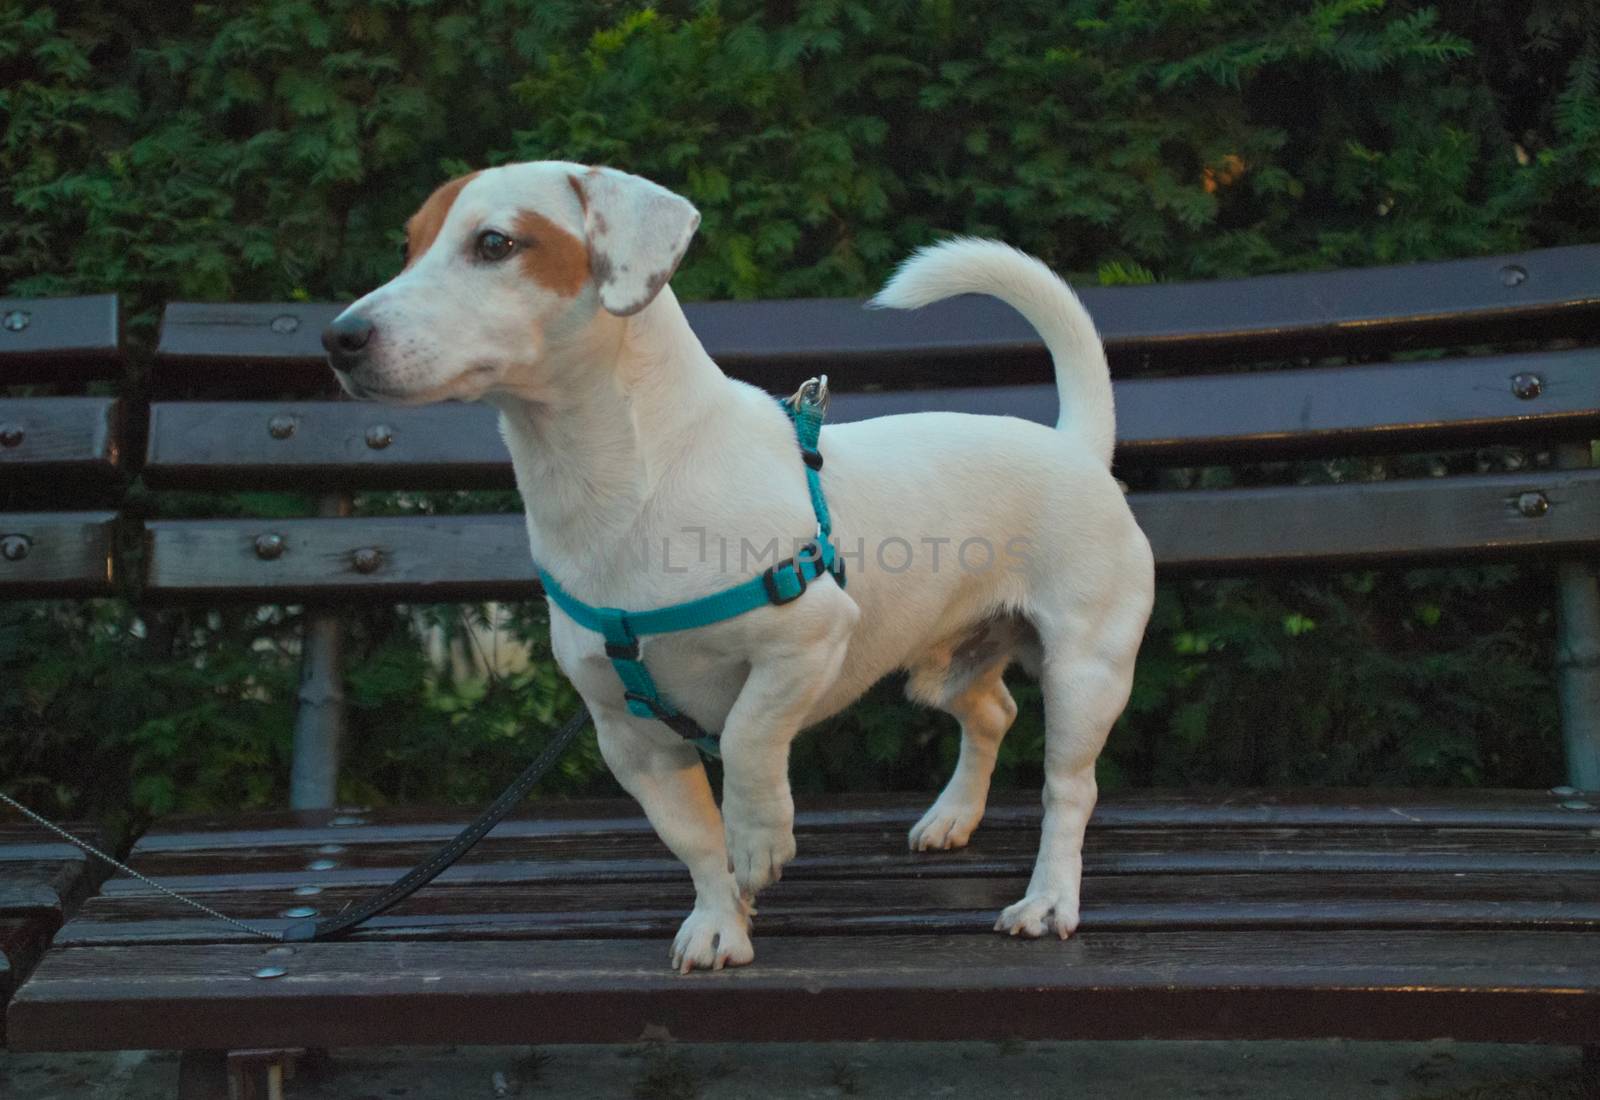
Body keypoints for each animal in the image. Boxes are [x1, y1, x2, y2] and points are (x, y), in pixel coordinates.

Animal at [328, 163, 1152, 972]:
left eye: (496, 243)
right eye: (407, 244)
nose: (340, 338)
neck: (623, 490)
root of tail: (1075, 443)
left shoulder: (807, 641)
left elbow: (749, 739)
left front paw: (759, 839)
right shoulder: (629, 739)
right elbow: (694, 841)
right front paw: (720, 923)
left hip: (1086, 674)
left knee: (1068, 789)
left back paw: (1049, 899)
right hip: (942, 663)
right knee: (992, 713)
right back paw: (953, 815)